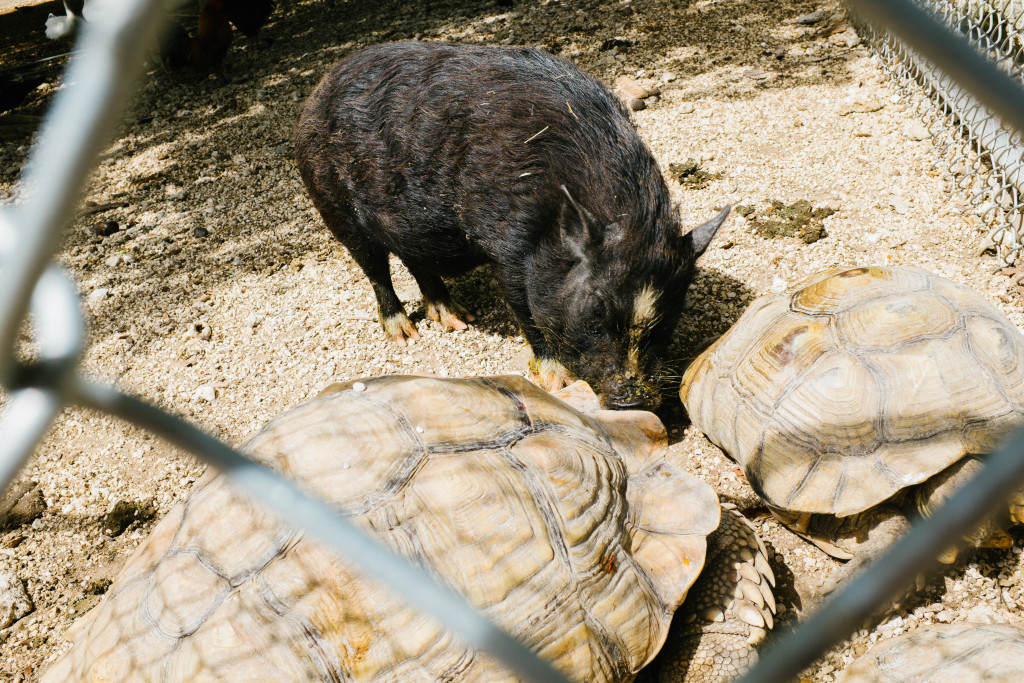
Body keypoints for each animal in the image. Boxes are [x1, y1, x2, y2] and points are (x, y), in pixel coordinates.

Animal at [296, 42, 729, 409]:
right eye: (595, 315)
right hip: (332, 202)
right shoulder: (509, 250)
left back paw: (457, 320)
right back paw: (405, 335)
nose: (635, 400)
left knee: (415, 259)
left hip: (405, 222)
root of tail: (319, 89)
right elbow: (525, 310)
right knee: (374, 268)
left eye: (669, 316)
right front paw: (559, 383)